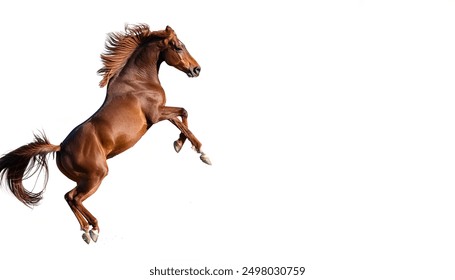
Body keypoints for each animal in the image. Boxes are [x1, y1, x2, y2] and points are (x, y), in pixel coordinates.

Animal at [0, 23, 210, 243]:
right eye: (178, 47)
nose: (196, 69)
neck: (139, 80)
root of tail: (61, 147)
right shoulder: (156, 114)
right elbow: (182, 116)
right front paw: (202, 152)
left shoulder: (160, 113)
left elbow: (182, 117)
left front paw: (180, 144)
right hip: (96, 176)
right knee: (74, 198)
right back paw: (93, 228)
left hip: (85, 179)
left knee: (69, 196)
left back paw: (86, 230)